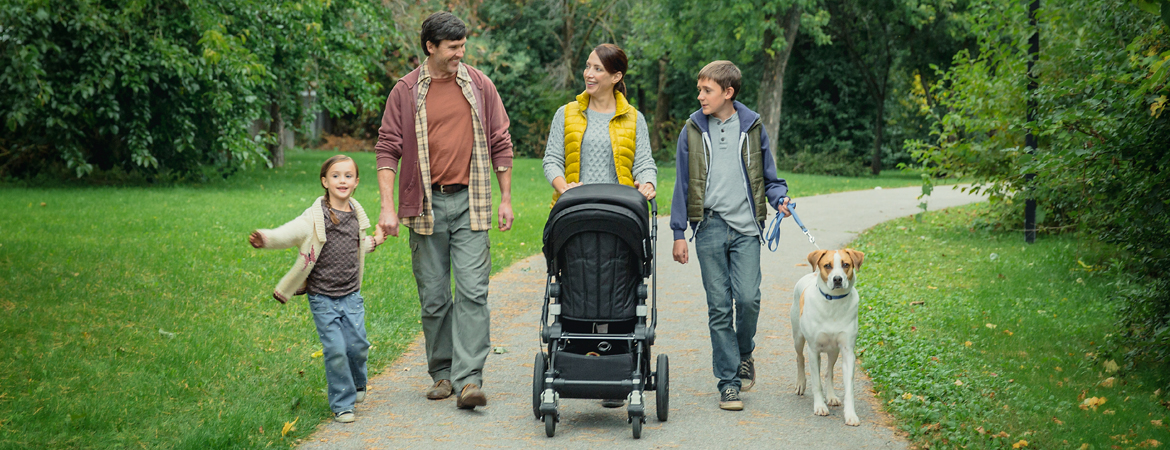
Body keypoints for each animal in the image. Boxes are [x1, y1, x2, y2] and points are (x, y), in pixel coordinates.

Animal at [790, 247, 865, 425]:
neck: (834, 302)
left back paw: (830, 396)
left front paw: (850, 414)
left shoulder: (847, 350)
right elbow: (816, 382)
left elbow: (848, 388)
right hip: (798, 337)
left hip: (833, 351)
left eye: (845, 264)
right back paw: (801, 383)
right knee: (800, 358)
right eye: (827, 265)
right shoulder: (813, 349)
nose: (837, 279)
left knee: (829, 372)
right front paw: (820, 406)